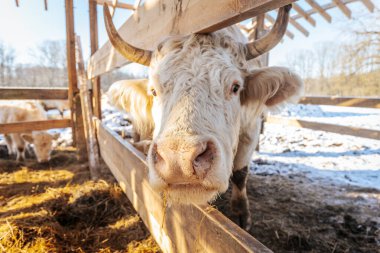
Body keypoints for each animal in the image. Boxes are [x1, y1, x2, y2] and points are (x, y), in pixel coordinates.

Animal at [102, 3, 302, 230]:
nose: (178, 161)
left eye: (235, 87)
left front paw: (242, 214)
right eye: (154, 91)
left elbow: (240, 173)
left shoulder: (251, 129)